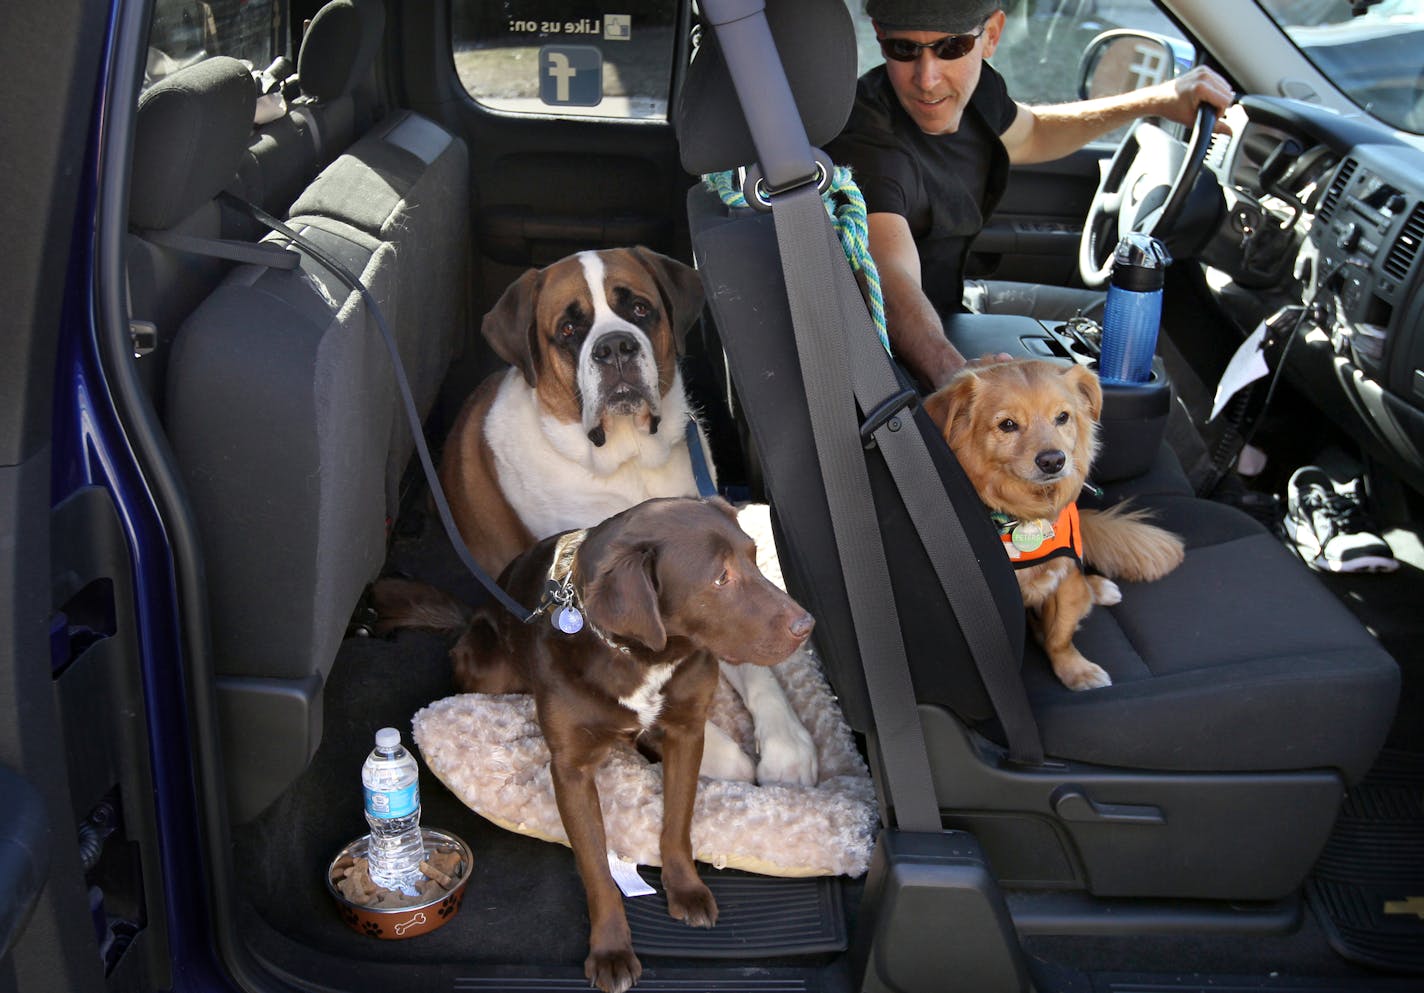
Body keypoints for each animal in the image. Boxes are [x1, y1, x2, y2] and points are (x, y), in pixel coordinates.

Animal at [435, 246, 814, 780]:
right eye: (568, 330)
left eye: (639, 309)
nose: (615, 346)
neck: (628, 462)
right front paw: (721, 754)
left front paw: (786, 744)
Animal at [917, 357, 1184, 689]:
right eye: (1007, 425)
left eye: (1062, 417)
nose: (1053, 461)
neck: (1026, 514)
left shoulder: (1066, 575)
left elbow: (1060, 636)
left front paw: (1075, 668)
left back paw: (1097, 588)